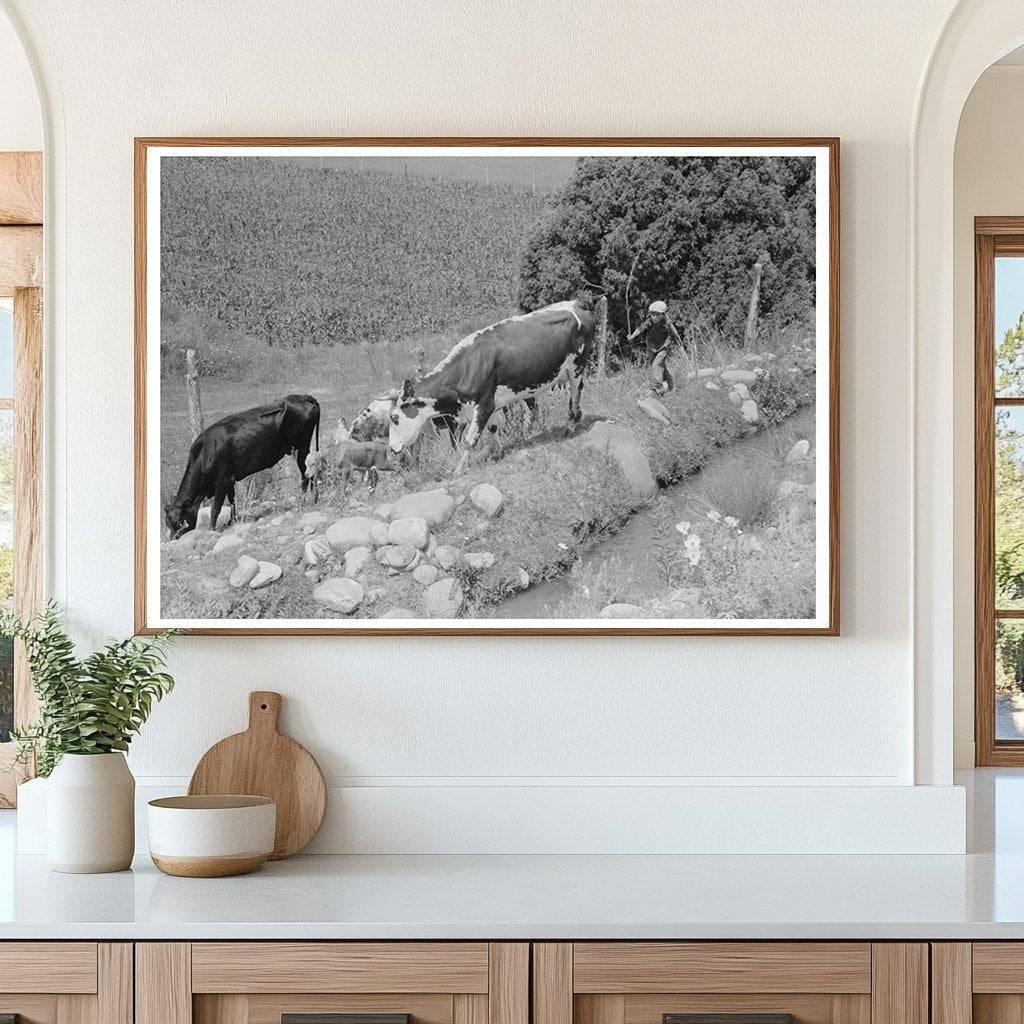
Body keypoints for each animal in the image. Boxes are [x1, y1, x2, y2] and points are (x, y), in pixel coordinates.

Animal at [385, 299, 598, 468]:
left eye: (394, 418)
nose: (392, 449)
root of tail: (577, 303)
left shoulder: (484, 404)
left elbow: (470, 440)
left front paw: (459, 469)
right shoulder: (491, 404)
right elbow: (493, 428)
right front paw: (498, 452)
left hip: (577, 367)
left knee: (575, 395)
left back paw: (571, 426)